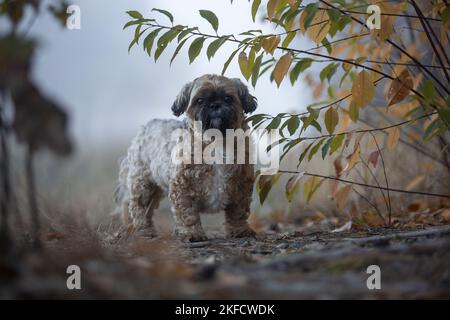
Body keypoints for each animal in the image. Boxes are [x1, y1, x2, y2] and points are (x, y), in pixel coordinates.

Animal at [114, 74, 256, 240]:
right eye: (199, 100)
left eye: (228, 98)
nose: (215, 105)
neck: (215, 141)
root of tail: (144, 129)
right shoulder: (182, 186)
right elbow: (187, 213)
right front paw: (192, 233)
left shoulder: (241, 185)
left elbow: (238, 211)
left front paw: (239, 230)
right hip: (143, 185)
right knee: (140, 208)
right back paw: (145, 231)